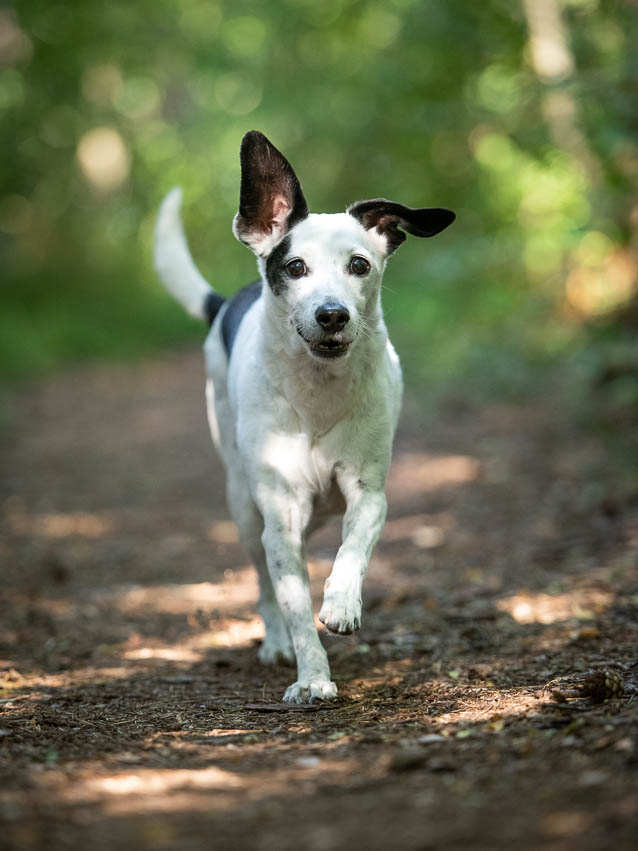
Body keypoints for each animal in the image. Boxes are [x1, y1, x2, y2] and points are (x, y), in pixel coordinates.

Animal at [155, 131, 456, 704]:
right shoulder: (281, 516)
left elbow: (353, 548)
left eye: (359, 264)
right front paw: (312, 676)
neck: (319, 392)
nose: (332, 314)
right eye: (295, 267)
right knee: (262, 582)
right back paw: (273, 642)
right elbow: (292, 604)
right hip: (244, 504)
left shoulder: (368, 492)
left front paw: (340, 601)